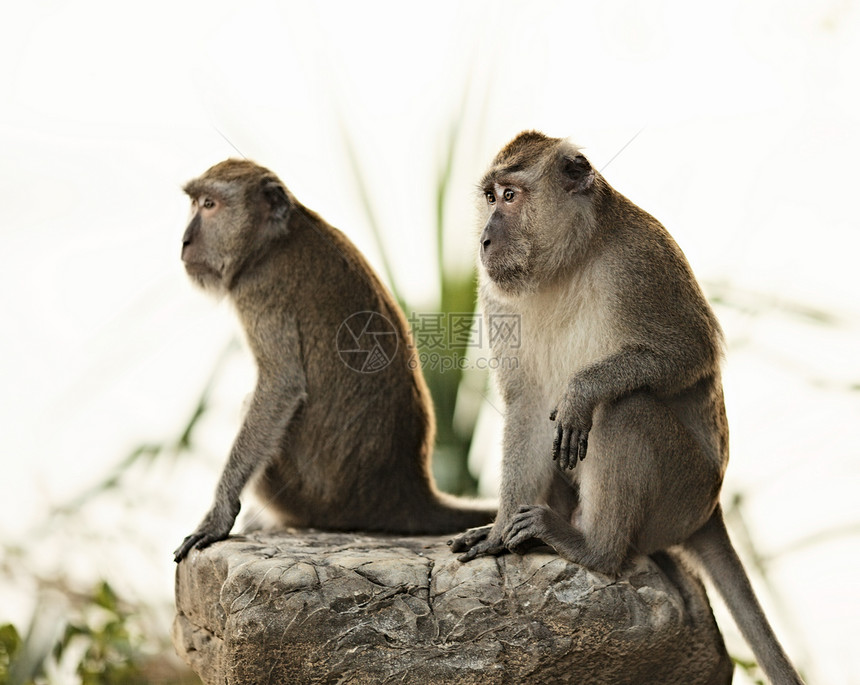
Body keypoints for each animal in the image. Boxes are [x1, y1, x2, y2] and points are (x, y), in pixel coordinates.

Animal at [173, 159, 498, 560]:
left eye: (209, 205)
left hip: (317, 499)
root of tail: (410, 492)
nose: (184, 241)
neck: (273, 240)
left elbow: (280, 387)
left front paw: (219, 514)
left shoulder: (260, 290)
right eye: (194, 203)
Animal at [450, 130, 808, 684]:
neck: (568, 263)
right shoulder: (497, 296)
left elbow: (690, 351)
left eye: (510, 196)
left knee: (625, 410)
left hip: (682, 495)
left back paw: (596, 549)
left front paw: (582, 390)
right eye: (490, 198)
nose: (485, 240)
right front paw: (498, 530)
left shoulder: (640, 262)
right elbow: (528, 407)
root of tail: (711, 506)